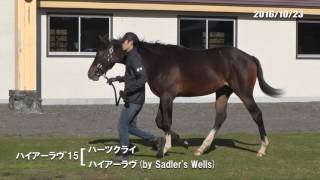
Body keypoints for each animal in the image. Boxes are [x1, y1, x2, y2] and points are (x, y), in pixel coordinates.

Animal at [87, 34, 282, 158]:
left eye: (100, 52)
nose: (91, 73)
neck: (158, 62)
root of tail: (250, 57)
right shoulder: (164, 97)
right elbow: (160, 122)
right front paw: (181, 141)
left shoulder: (167, 97)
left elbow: (166, 121)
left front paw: (166, 148)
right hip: (223, 91)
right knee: (220, 117)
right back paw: (202, 148)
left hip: (244, 93)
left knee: (256, 114)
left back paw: (262, 149)